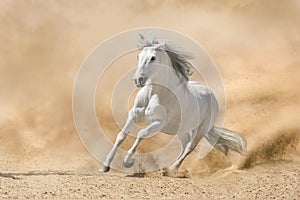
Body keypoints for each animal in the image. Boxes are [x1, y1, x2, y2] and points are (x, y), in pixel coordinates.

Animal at [100, 33, 246, 173]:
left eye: (153, 58)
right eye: (138, 56)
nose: (138, 80)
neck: (154, 94)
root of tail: (212, 96)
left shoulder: (158, 123)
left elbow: (141, 133)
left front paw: (127, 161)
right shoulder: (133, 115)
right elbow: (121, 136)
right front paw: (105, 166)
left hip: (200, 130)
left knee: (189, 147)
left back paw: (172, 169)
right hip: (182, 130)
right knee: (184, 145)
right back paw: (167, 169)